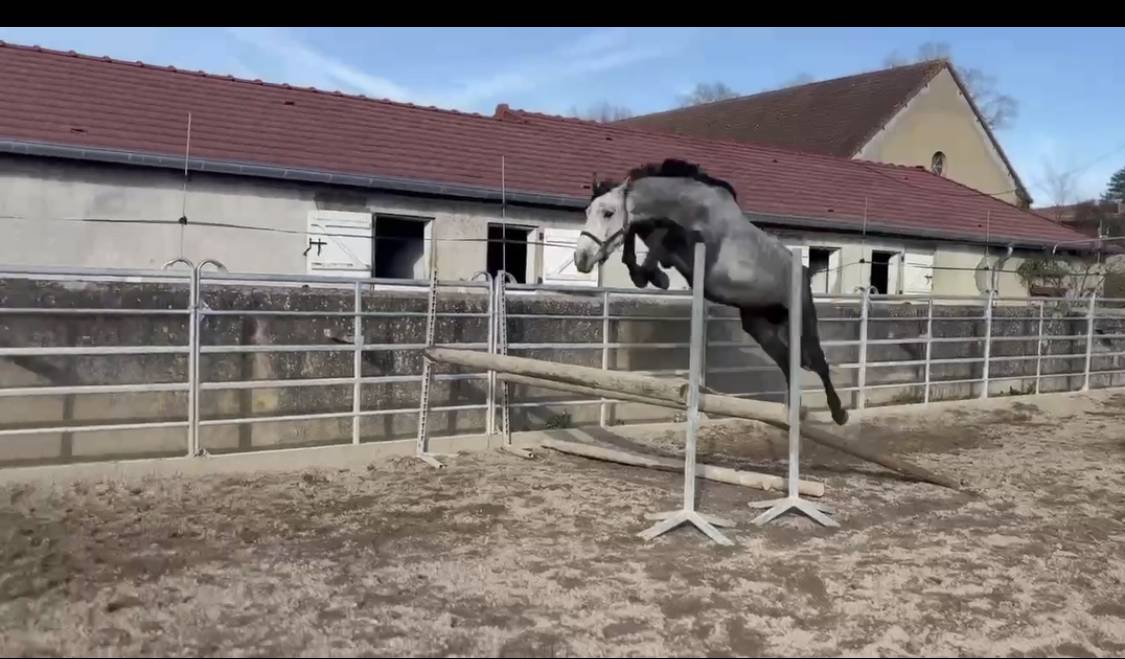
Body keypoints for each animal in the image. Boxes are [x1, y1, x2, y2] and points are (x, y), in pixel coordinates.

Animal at [573, 158, 849, 426]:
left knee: (818, 363)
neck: (688, 207)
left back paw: (839, 413)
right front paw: (645, 275)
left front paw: (655, 276)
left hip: (802, 319)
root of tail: (804, 273)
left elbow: (665, 238)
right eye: (587, 212)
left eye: (608, 213)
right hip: (760, 327)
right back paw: (792, 411)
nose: (581, 259)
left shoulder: (701, 251)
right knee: (790, 363)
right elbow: (636, 233)